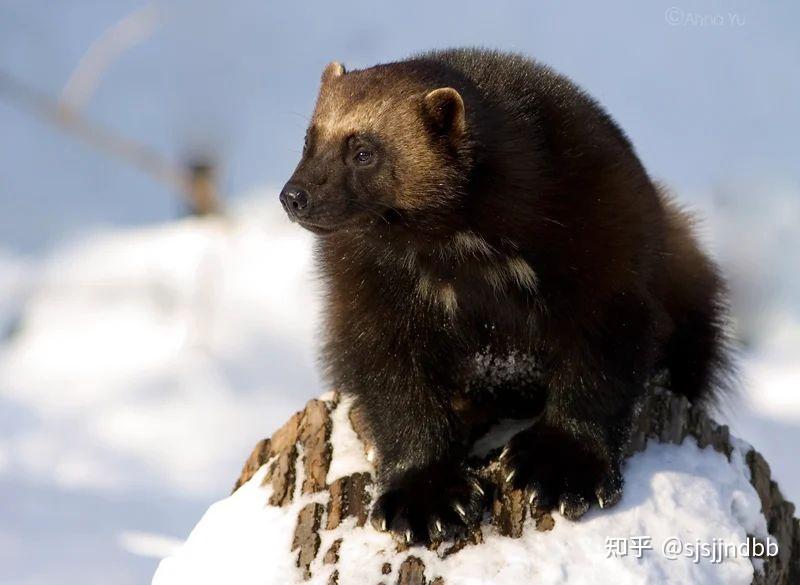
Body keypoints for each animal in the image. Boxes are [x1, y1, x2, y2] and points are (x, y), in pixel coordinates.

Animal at [279, 48, 729, 545]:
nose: (294, 195)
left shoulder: (607, 248)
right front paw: (426, 497)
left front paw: (560, 467)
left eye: (363, 151)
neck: (464, 253)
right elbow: (394, 386)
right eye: (308, 139)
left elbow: (599, 368)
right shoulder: (367, 290)